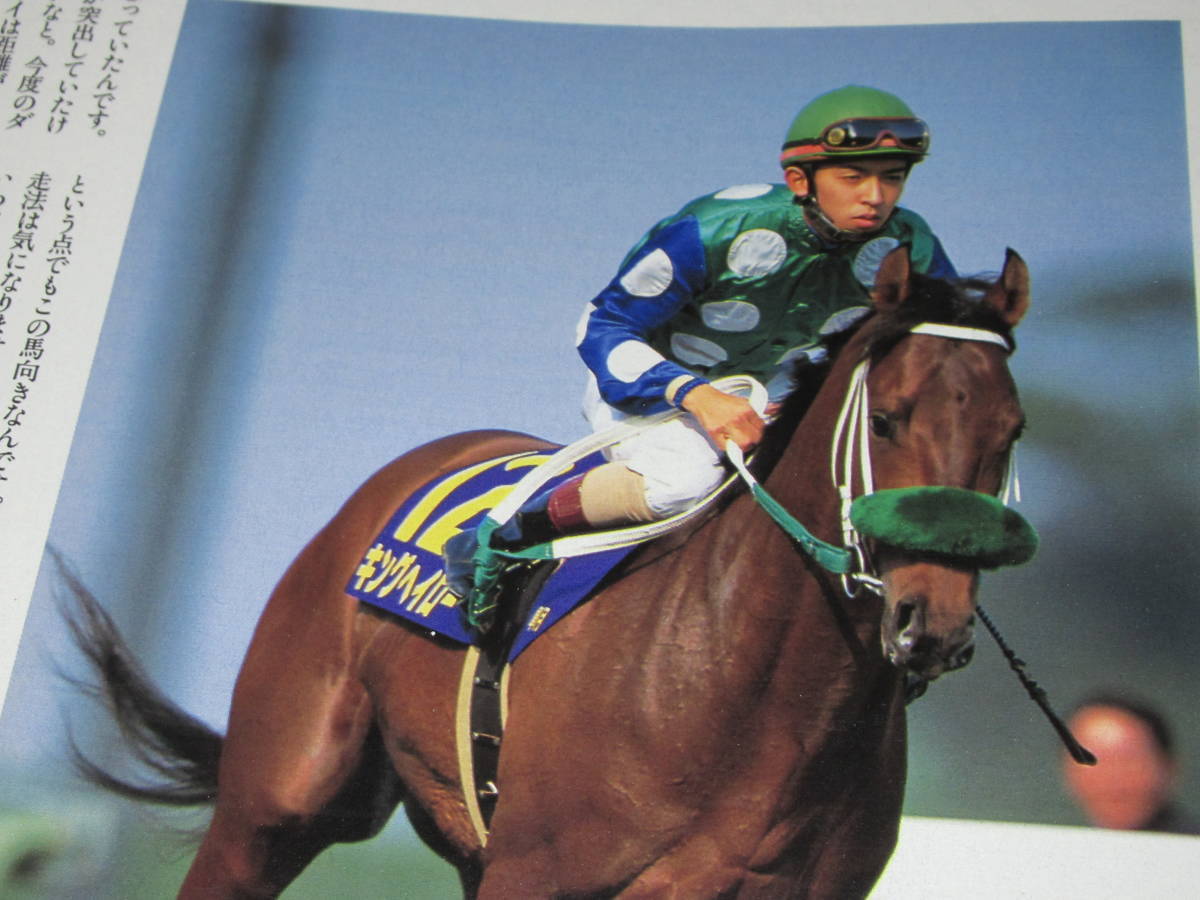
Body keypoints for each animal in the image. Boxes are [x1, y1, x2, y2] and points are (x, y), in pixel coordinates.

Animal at [65, 245, 1030, 898]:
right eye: (890, 418)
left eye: (1011, 430)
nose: (932, 623)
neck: (749, 693)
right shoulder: (538, 875)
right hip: (276, 801)